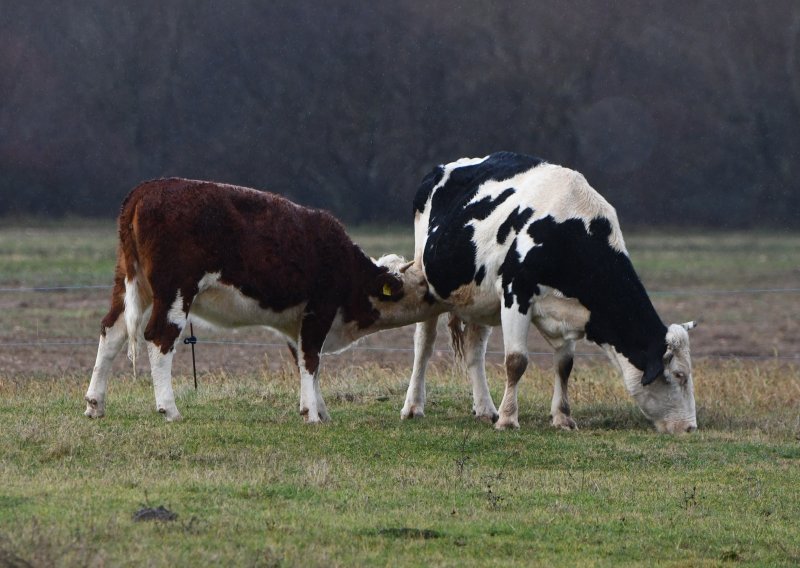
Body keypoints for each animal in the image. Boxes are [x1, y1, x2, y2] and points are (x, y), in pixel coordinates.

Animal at [84, 178, 432, 422]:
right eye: (418, 284)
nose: (435, 292)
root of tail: (146, 189)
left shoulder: (297, 321)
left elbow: (306, 362)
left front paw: (317, 408)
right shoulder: (319, 309)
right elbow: (311, 360)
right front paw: (313, 414)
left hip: (131, 283)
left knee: (112, 331)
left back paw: (95, 404)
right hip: (174, 290)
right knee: (159, 338)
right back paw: (168, 409)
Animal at [404, 153, 696, 432]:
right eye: (679, 375)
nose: (690, 427)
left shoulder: (569, 313)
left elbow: (564, 365)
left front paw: (562, 418)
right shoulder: (515, 294)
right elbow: (516, 361)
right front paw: (508, 419)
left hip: (479, 298)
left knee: (475, 349)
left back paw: (485, 409)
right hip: (424, 278)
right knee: (424, 344)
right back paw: (413, 406)